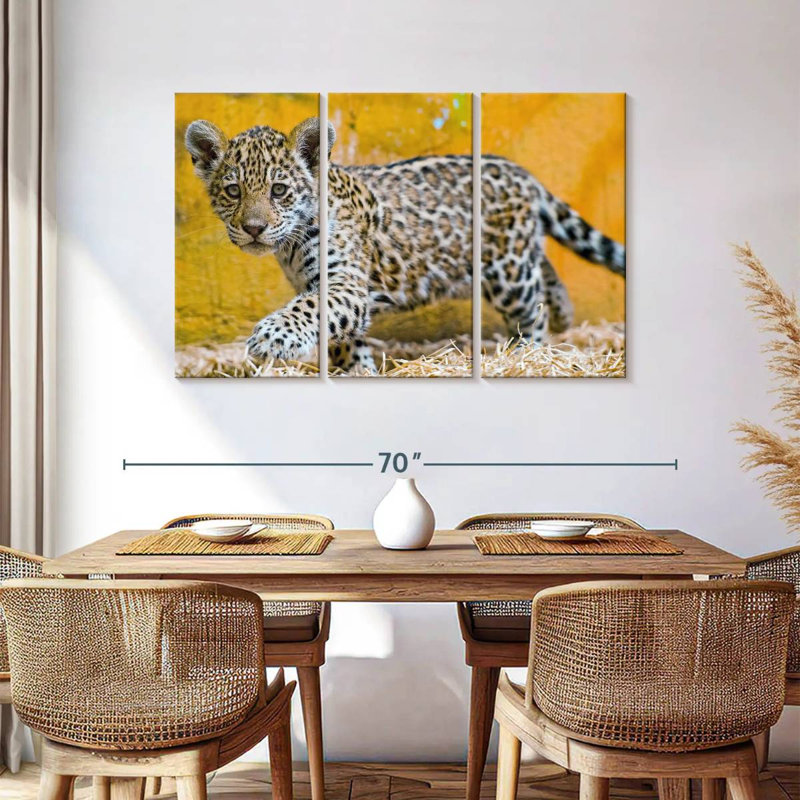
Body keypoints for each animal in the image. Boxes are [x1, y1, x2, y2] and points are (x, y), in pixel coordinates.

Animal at [185, 116, 625, 374]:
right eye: (233, 191)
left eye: (279, 190)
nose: (254, 228)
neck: (289, 245)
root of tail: (523, 173)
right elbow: (341, 337)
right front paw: (357, 372)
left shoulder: (345, 282)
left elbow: (310, 309)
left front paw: (271, 337)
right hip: (519, 256)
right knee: (545, 269)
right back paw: (564, 315)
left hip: (508, 273)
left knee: (531, 311)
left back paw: (528, 356)